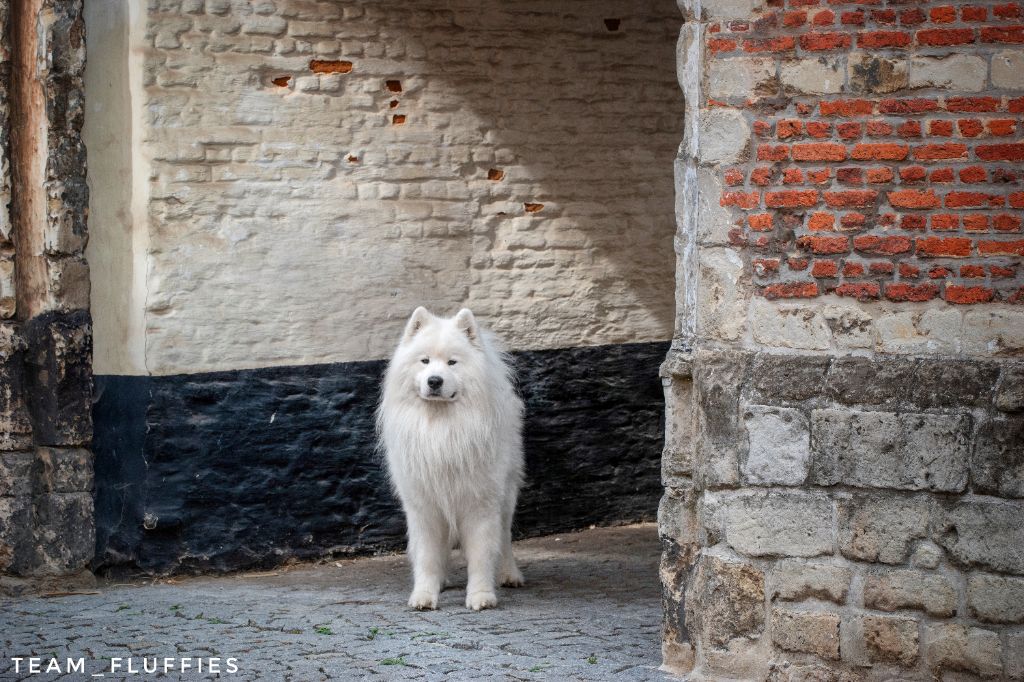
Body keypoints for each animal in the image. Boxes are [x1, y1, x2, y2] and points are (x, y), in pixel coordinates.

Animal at [378, 305, 528, 606]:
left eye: (452, 363)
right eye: (424, 361)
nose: (434, 381)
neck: (441, 425)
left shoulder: (481, 503)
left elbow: (482, 554)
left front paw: (481, 595)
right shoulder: (424, 505)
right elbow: (427, 556)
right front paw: (425, 593)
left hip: (506, 495)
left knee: (504, 538)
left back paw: (509, 574)